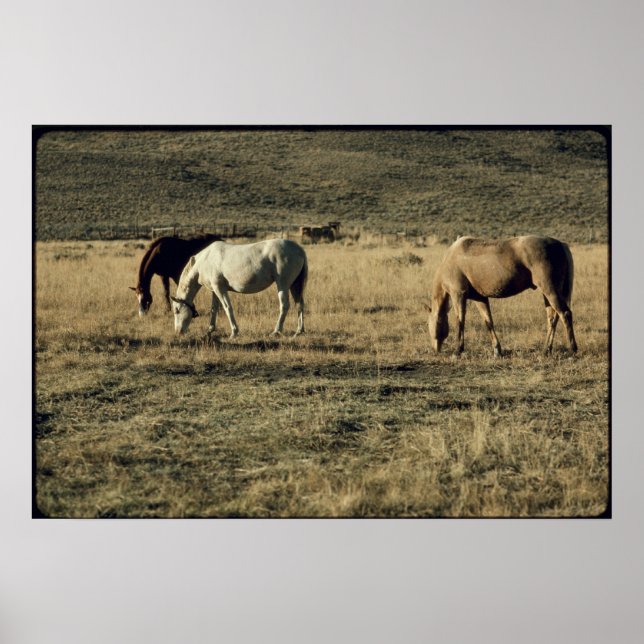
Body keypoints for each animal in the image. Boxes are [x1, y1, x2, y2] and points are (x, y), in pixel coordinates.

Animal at [170, 238, 308, 338]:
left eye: (177, 310)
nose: (178, 332)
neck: (204, 261)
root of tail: (299, 249)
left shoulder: (220, 289)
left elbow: (227, 308)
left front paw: (234, 332)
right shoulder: (215, 291)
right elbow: (214, 309)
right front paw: (210, 330)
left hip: (283, 285)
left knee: (284, 305)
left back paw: (276, 331)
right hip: (295, 286)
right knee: (299, 304)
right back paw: (299, 331)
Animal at [426, 235, 578, 356]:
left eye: (429, 324)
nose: (435, 349)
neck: (450, 259)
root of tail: (561, 245)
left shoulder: (458, 294)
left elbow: (460, 321)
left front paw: (459, 349)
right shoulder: (480, 298)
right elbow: (488, 322)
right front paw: (497, 350)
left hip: (549, 290)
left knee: (565, 314)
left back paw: (573, 349)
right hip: (548, 294)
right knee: (552, 318)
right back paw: (546, 349)